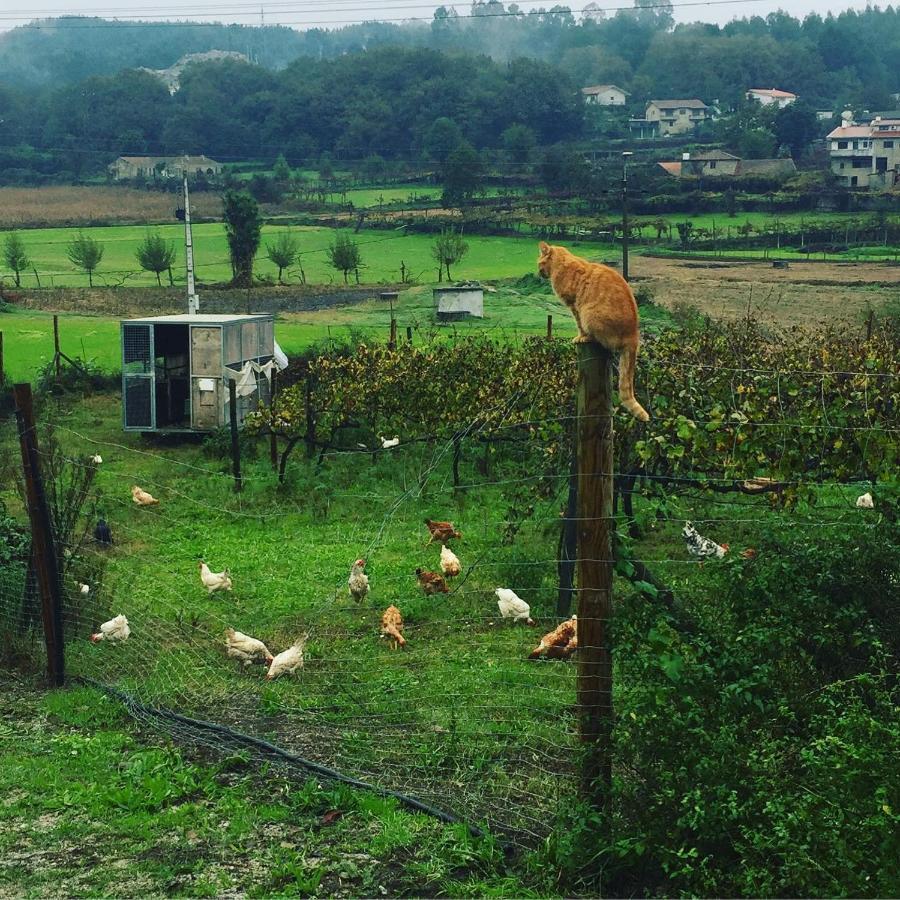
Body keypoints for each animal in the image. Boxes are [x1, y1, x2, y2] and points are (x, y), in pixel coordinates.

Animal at [536, 239, 652, 422]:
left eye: (539, 263)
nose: (538, 273)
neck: (561, 264)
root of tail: (634, 334)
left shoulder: (575, 306)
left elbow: (579, 326)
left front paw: (580, 337)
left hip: (589, 314)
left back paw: (588, 338)